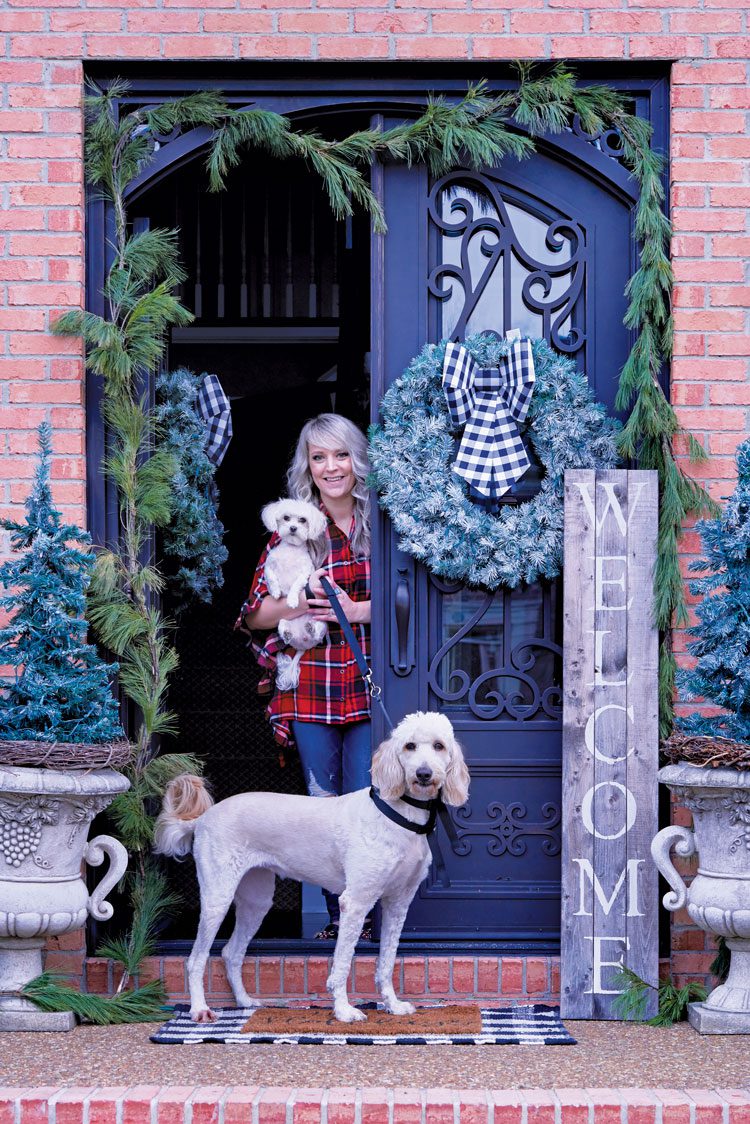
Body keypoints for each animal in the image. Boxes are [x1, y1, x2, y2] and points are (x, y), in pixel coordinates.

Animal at [152, 714, 470, 1025]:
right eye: (409, 746)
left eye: (439, 746)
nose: (424, 774)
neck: (401, 816)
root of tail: (204, 817)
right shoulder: (355, 902)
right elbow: (342, 964)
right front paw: (343, 1011)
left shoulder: (397, 903)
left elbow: (386, 962)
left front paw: (392, 1004)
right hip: (217, 897)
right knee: (196, 959)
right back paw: (199, 1009)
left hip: (256, 901)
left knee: (231, 953)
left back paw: (244, 1002)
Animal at [259, 499, 326, 687]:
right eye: (286, 518)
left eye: (303, 520)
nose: (293, 528)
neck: (291, 549)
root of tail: (302, 646)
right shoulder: (269, 566)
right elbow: (271, 577)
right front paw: (276, 591)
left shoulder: (305, 572)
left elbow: (296, 584)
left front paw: (292, 600)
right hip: (282, 621)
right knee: (284, 629)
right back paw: (288, 634)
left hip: (323, 622)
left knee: (318, 632)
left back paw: (310, 628)